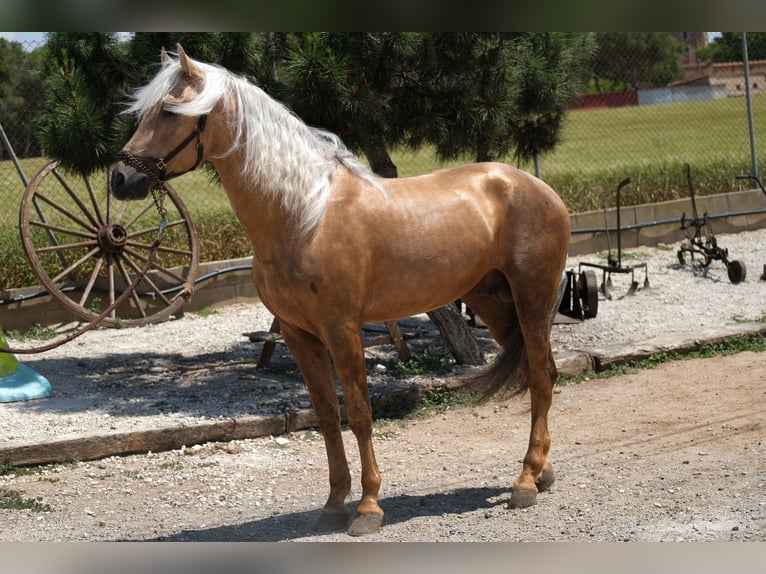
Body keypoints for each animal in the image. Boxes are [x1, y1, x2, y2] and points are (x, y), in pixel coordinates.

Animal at [112, 46, 568, 540]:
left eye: (169, 111)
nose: (120, 178)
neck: (305, 215)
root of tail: (535, 186)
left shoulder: (343, 330)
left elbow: (361, 413)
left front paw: (367, 508)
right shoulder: (298, 335)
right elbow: (328, 417)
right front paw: (333, 505)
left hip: (532, 300)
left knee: (540, 379)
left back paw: (524, 482)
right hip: (495, 305)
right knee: (541, 373)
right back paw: (541, 472)